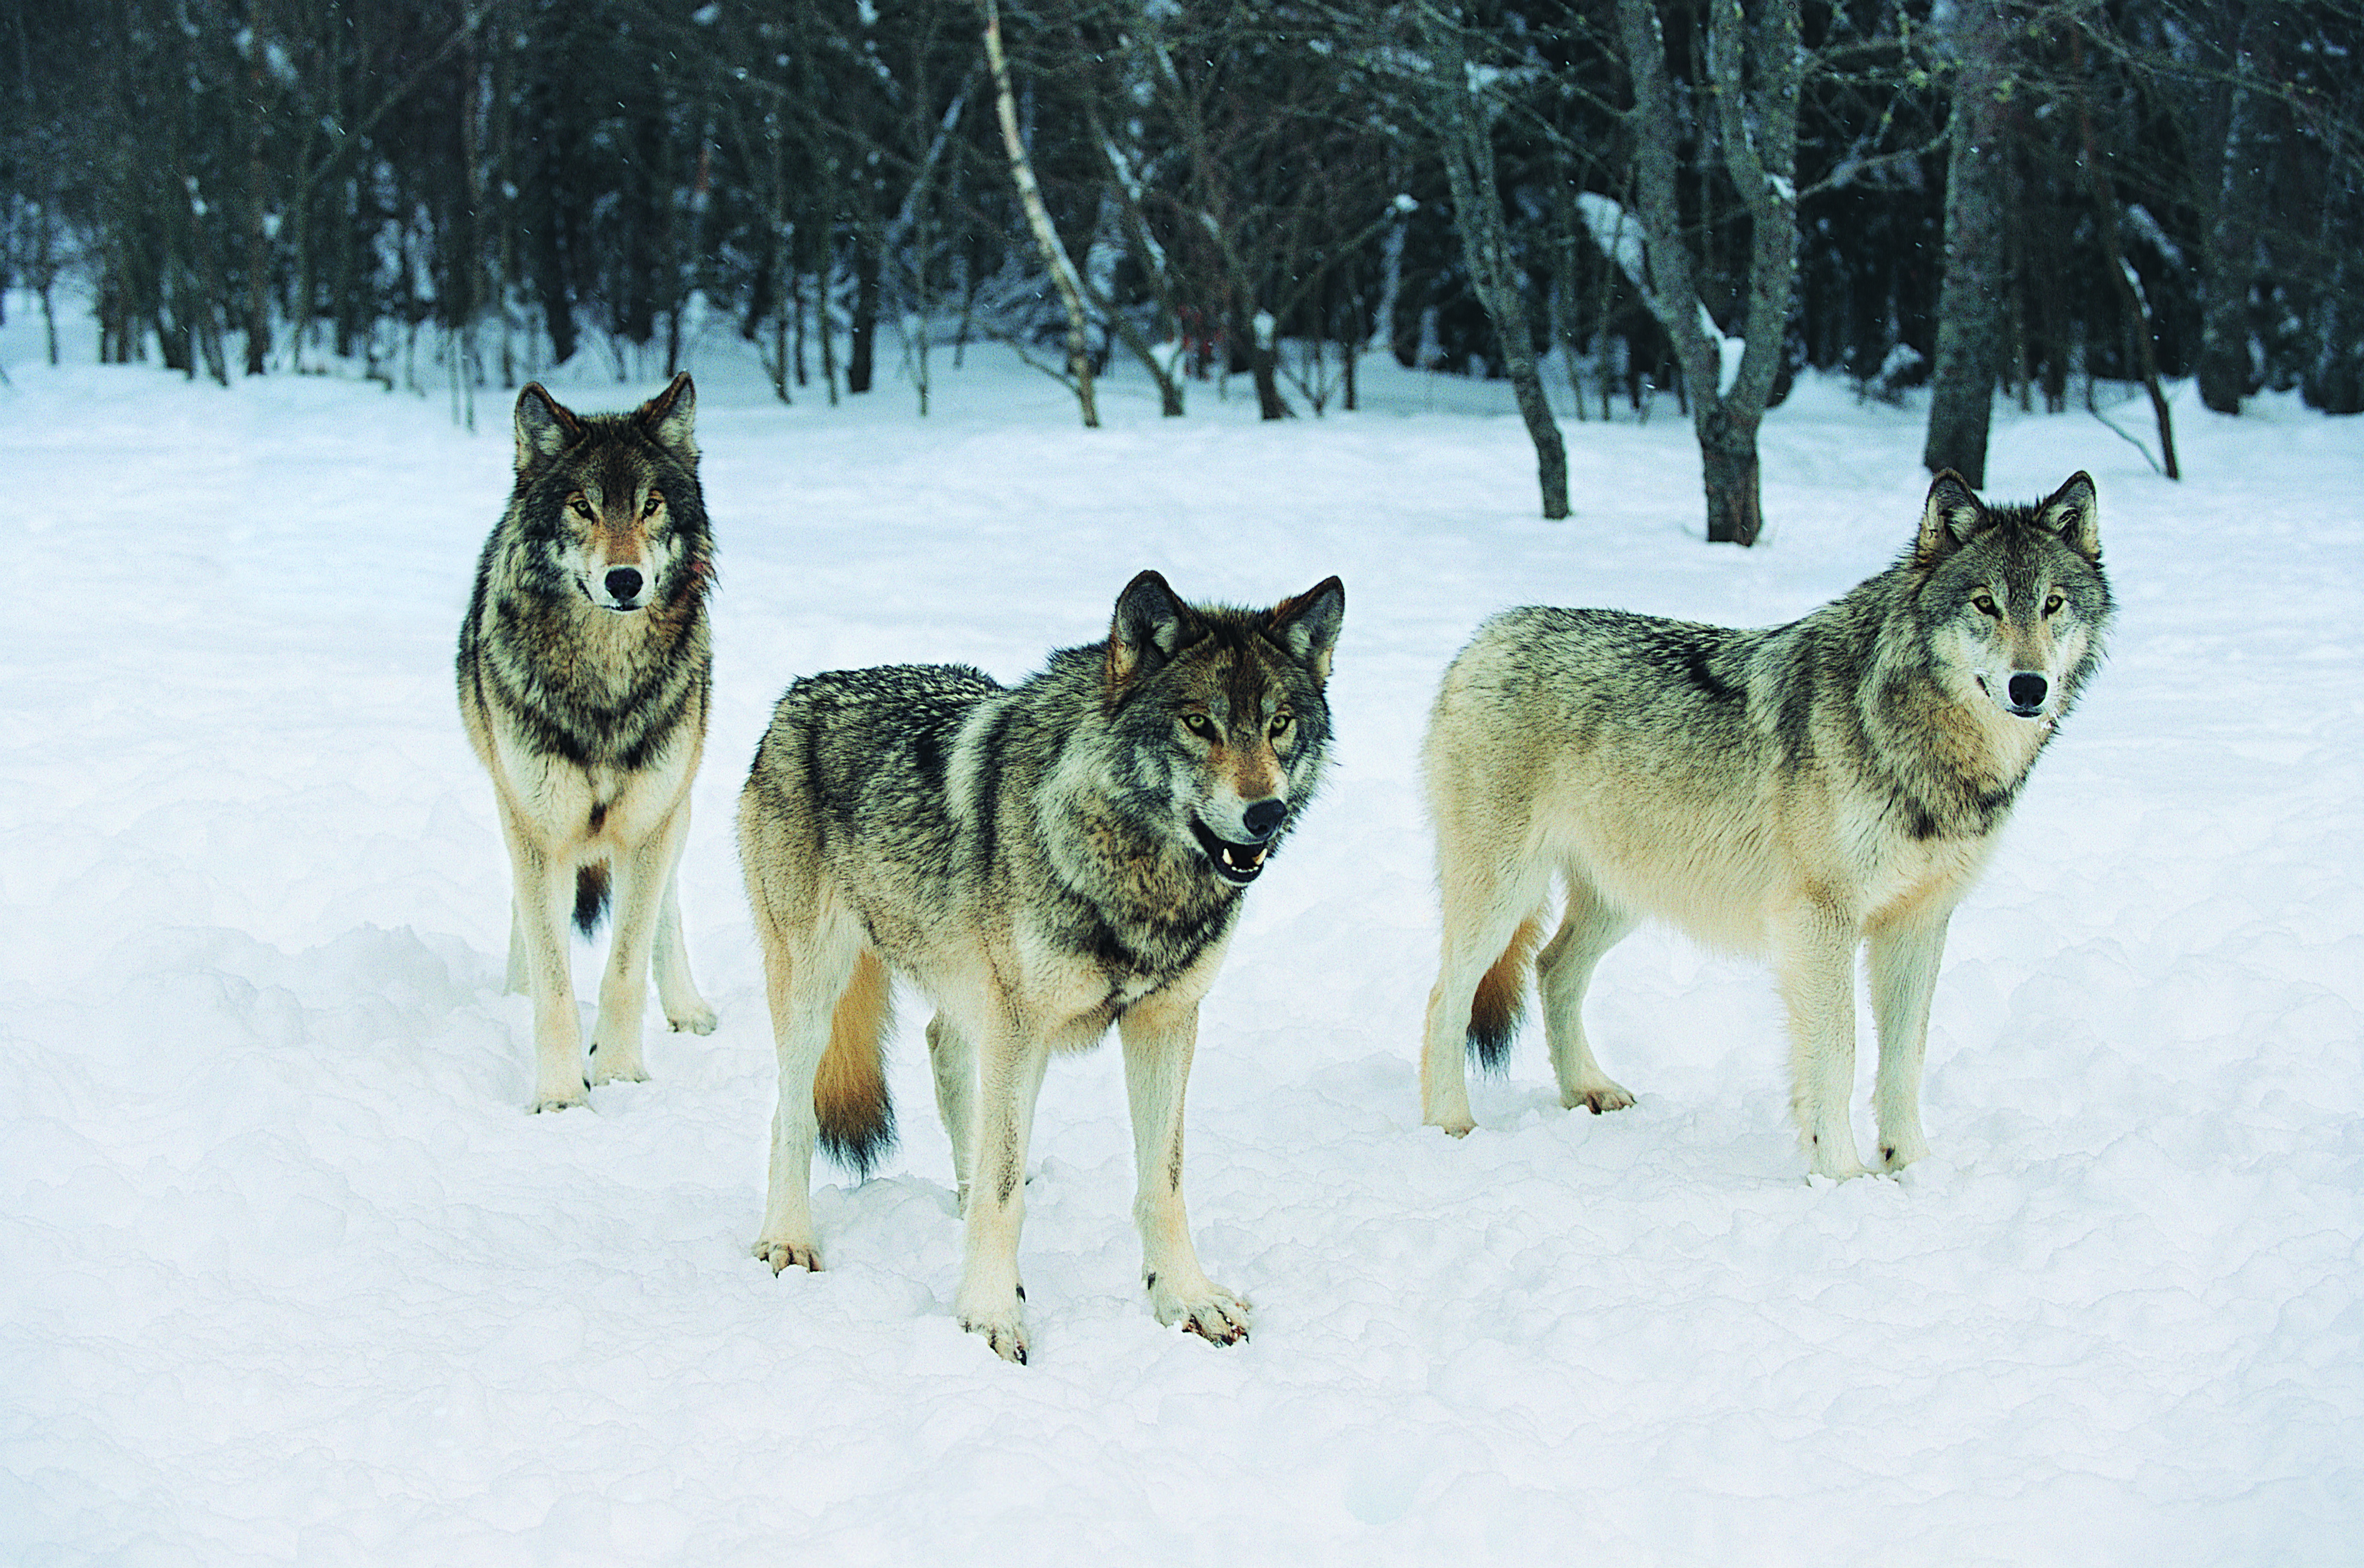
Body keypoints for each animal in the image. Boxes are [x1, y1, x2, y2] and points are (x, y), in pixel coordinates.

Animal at [456, 378, 714, 1116]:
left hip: (674, 804)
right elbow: (555, 980)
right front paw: (563, 1097)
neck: (604, 681)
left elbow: (626, 966)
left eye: (651, 505)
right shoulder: (537, 827)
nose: (625, 581)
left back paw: (687, 1008)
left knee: (665, 908)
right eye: (583, 507)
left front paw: (623, 1074)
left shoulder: (649, 822)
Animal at [747, 567, 1361, 1362]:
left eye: (1280, 722)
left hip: (963, 984)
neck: (1136, 870)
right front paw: (988, 1312)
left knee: (944, 1056)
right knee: (791, 1112)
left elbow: (1162, 1184)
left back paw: (957, 1193)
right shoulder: (1023, 1027)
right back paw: (788, 1239)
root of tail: (803, 692)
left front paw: (1186, 1299)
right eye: (1199, 723)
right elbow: (1004, 1197)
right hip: (815, 987)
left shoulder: (1166, 1021)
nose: (1267, 814)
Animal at [1409, 475, 2118, 1178]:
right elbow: (1839, 1055)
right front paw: (1843, 1176)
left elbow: (1905, 1059)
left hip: (1628, 894)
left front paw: (1912, 1168)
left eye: (2052, 604)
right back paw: (1451, 1124)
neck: (1919, 738)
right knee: (1447, 997)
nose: (2029, 687)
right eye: (1985, 604)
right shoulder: (1818, 919)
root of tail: (1488, 634)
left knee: (1552, 968)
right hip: (1506, 894)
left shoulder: (1920, 921)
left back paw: (1588, 1089)